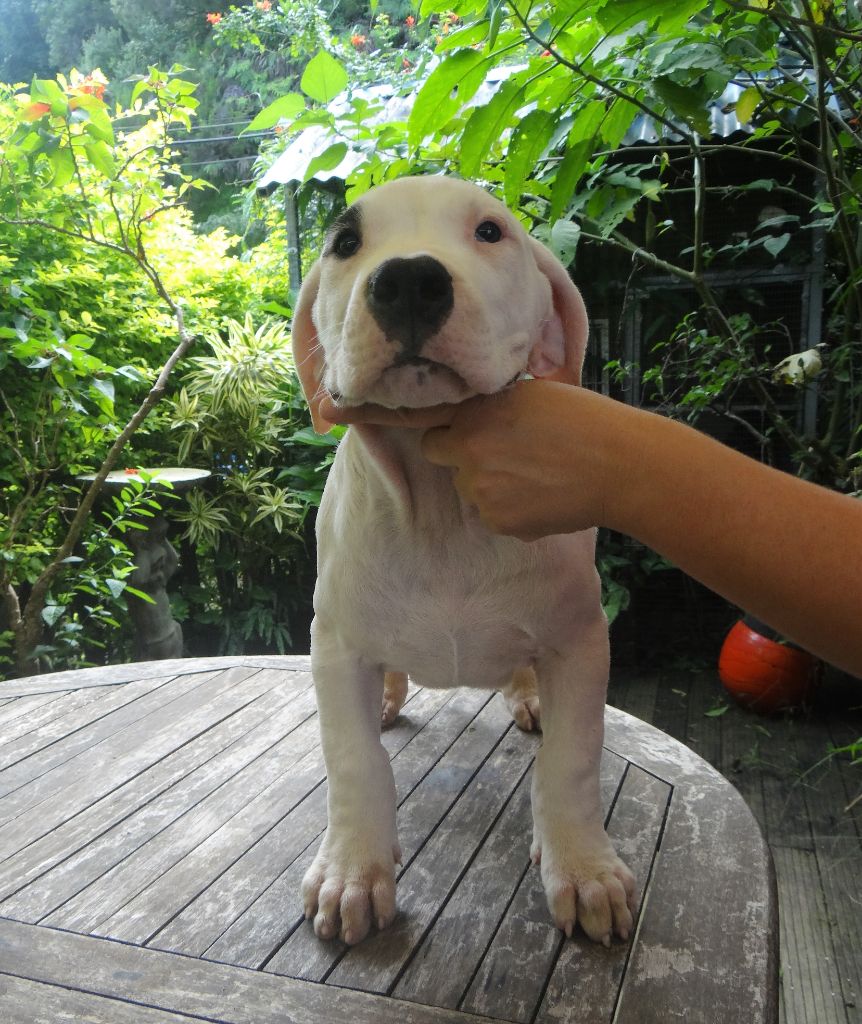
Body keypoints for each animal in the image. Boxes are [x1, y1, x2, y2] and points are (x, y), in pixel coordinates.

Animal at [291, 176, 635, 948]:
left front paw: (583, 867)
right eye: (345, 243)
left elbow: (573, 761)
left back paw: (528, 695)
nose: (408, 281)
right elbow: (353, 761)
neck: (442, 506)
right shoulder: (335, 643)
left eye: (490, 232)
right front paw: (353, 870)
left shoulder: (582, 639)